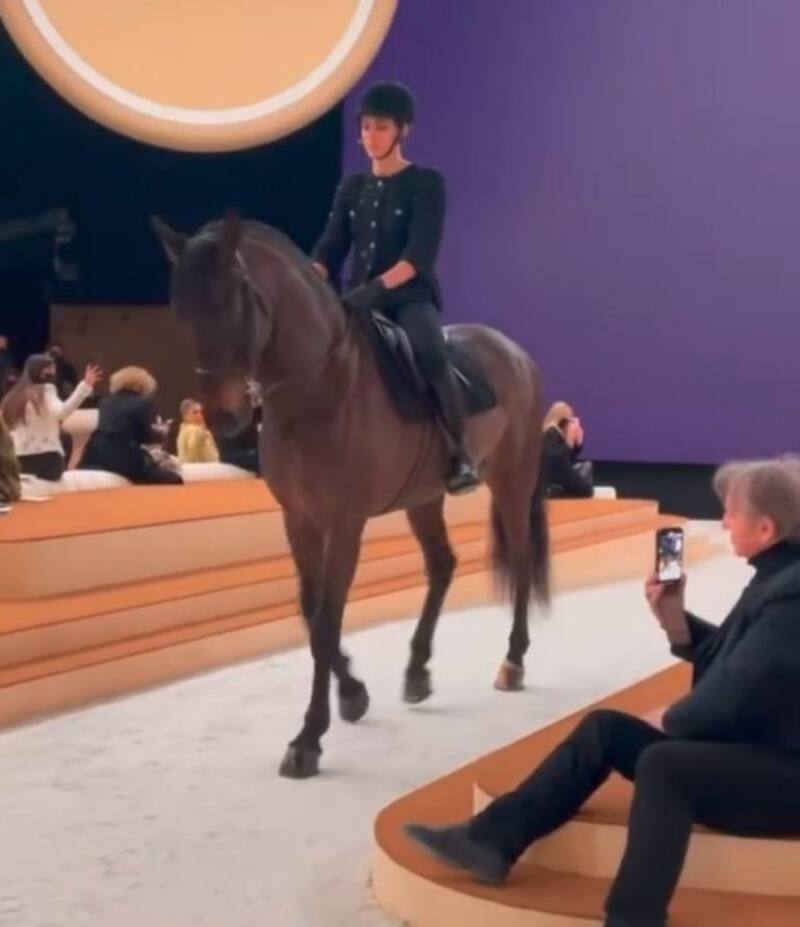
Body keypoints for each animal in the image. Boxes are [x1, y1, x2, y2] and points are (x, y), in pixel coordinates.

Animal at [152, 213, 550, 779]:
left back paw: (513, 662)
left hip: (514, 479)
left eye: (236, 301)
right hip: (425, 497)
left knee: (517, 560)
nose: (225, 417)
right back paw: (417, 671)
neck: (318, 385)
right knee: (442, 565)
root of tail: (514, 352)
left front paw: (308, 739)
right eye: (182, 311)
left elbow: (326, 621)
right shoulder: (298, 518)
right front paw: (353, 695)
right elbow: (310, 611)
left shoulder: (345, 522)